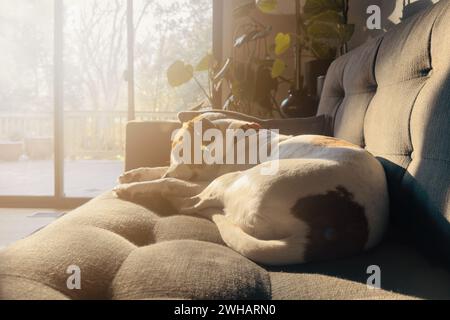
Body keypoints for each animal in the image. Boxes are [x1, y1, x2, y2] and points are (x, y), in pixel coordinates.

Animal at [114, 114, 388, 266]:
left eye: (180, 148)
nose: (172, 171)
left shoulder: (207, 179)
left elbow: (168, 183)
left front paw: (132, 186)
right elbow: (158, 171)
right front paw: (134, 173)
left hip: (233, 180)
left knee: (191, 202)